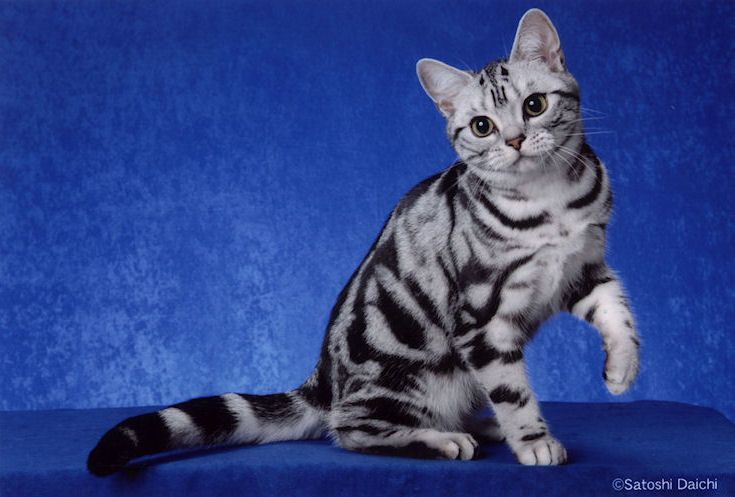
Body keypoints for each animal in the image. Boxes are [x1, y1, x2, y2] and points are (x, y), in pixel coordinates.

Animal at [86, 7, 640, 472]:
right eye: (482, 126)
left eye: (535, 104)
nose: (515, 140)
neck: (549, 202)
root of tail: (322, 383)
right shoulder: (482, 319)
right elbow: (513, 392)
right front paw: (533, 441)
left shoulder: (583, 269)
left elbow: (619, 312)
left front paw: (622, 368)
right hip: (411, 375)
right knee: (351, 430)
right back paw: (445, 438)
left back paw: (478, 426)